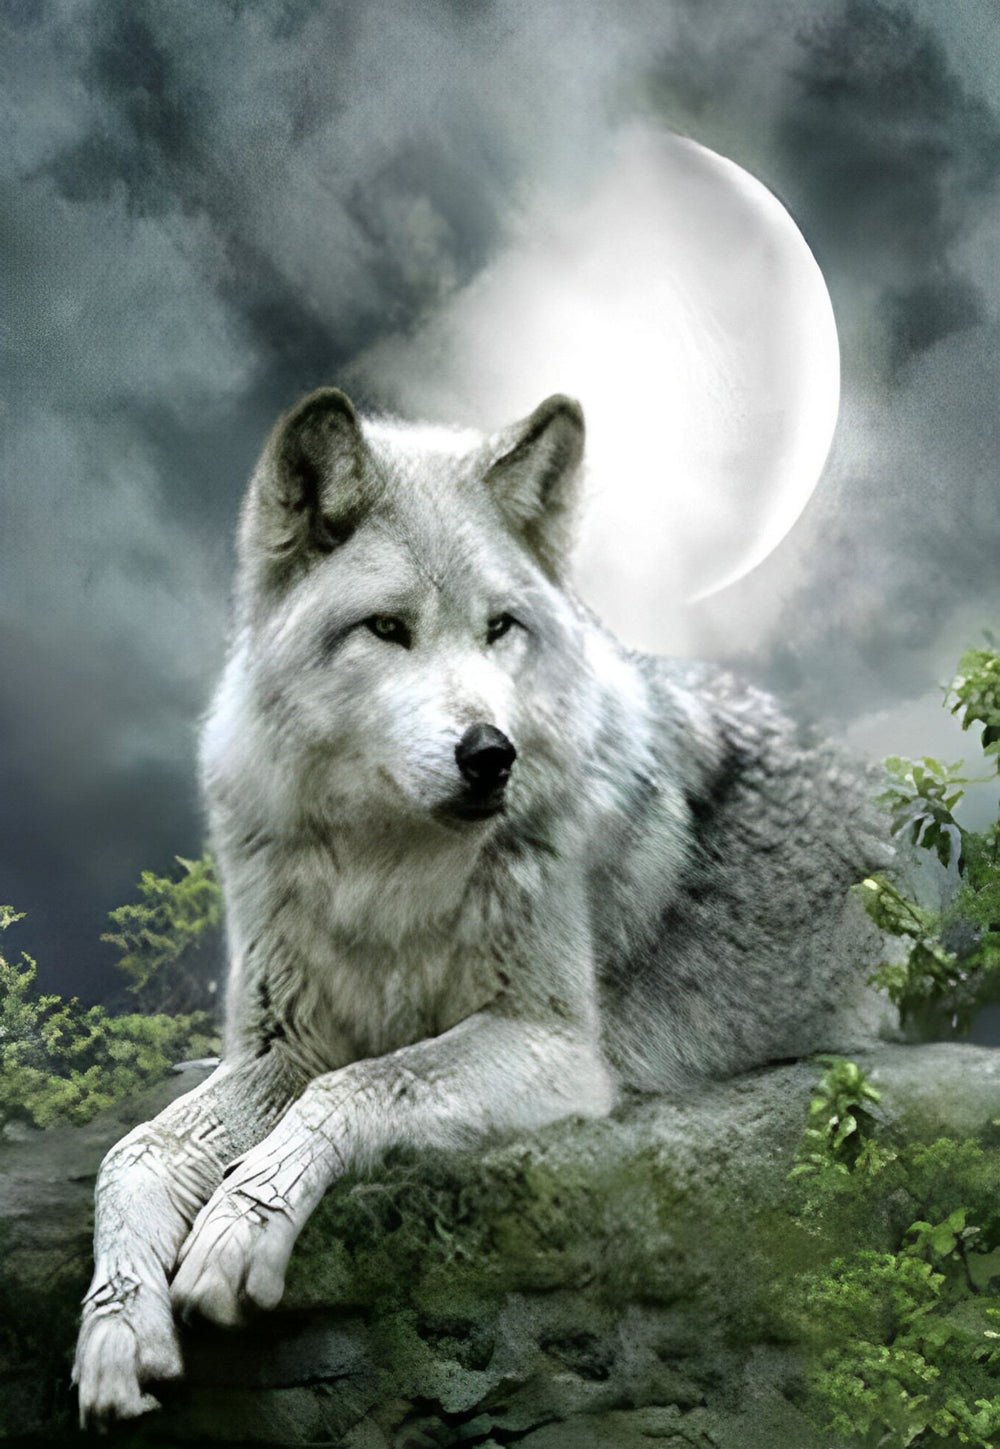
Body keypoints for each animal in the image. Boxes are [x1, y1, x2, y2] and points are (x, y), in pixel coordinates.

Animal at [73, 387, 891, 1424]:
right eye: (388, 628)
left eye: (500, 626)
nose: (491, 753)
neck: (387, 867)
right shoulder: (279, 1046)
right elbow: (134, 1150)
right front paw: (115, 1329)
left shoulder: (553, 1046)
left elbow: (363, 1084)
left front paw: (234, 1228)